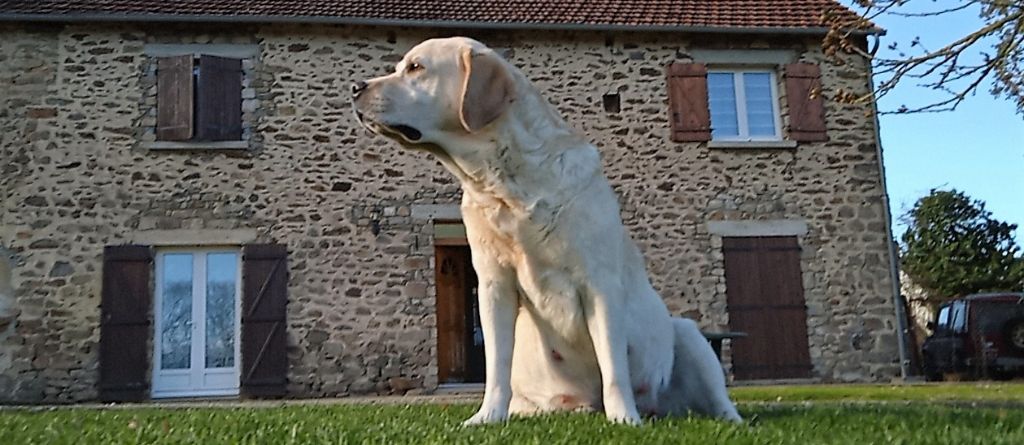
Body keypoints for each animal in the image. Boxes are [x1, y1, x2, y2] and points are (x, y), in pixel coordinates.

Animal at [356, 38, 741, 425]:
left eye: (416, 67)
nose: (356, 87)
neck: (507, 183)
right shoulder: (493, 284)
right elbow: (496, 365)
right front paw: (487, 416)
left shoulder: (599, 283)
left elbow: (613, 366)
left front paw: (624, 419)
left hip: (689, 335)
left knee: (718, 398)